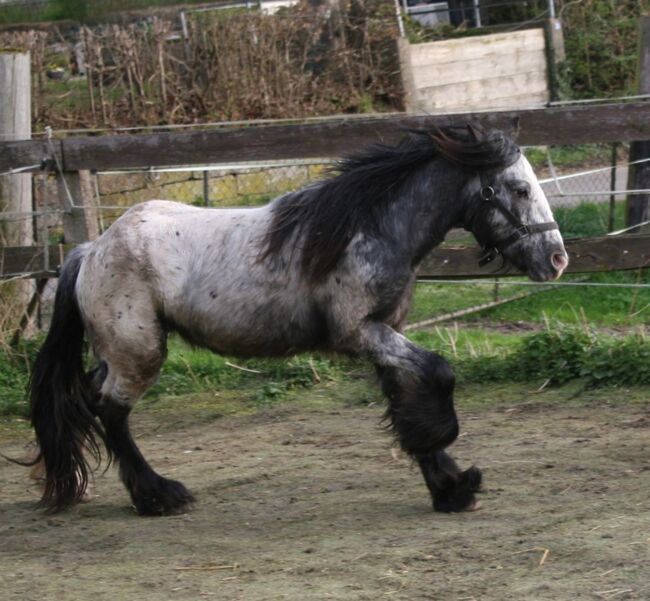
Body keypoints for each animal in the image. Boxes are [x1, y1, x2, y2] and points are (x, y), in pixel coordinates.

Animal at [26, 123, 560, 516]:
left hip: (117, 351)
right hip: (140, 352)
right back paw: (159, 496)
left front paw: (450, 487)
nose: (557, 259)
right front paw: (447, 453)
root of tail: (90, 250)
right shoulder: (358, 332)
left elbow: (405, 397)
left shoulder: (385, 332)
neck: (368, 228)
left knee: (90, 397)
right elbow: (440, 373)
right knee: (111, 412)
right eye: (518, 188)